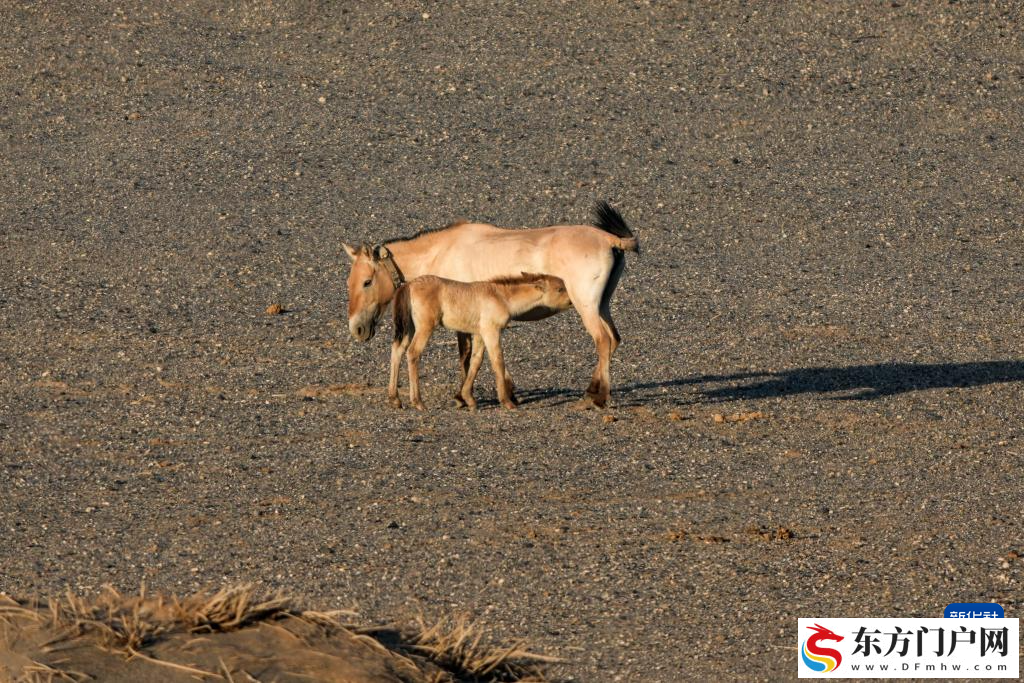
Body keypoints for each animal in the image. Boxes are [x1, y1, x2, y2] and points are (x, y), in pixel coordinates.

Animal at [388, 274, 572, 410]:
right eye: (560, 289)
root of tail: (408, 285)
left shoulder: (479, 334)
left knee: (397, 350)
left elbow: (476, 362)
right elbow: (497, 361)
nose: (571, 301)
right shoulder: (491, 331)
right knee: (413, 353)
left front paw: (468, 399)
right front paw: (507, 401)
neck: (502, 297)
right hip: (425, 327)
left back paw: (395, 399)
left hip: (409, 328)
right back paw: (418, 402)